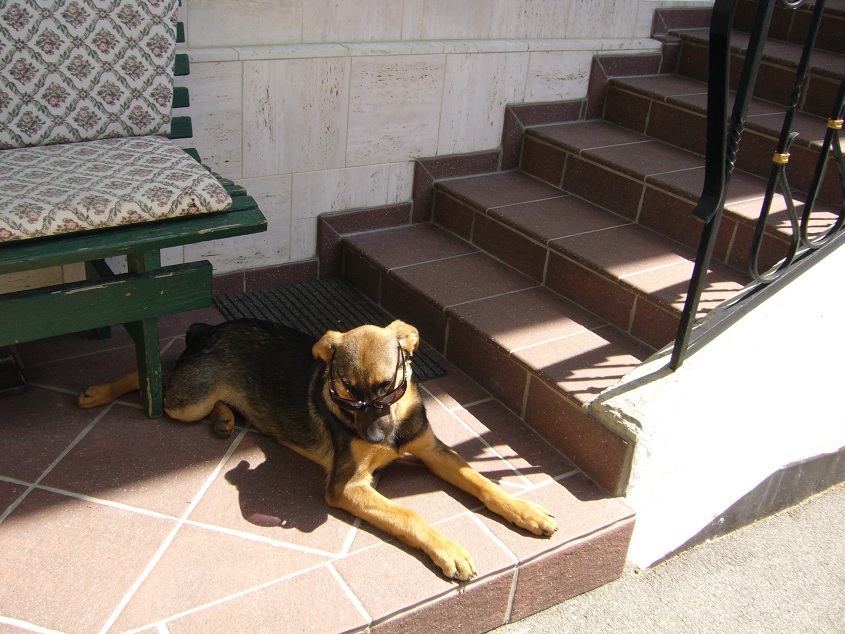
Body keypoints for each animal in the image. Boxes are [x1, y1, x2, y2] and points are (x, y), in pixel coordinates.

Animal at [77, 318, 552, 580]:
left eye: (390, 388)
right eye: (347, 394)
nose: (375, 440)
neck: (392, 426)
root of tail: (209, 328)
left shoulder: (433, 450)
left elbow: (479, 479)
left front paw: (525, 511)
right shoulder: (347, 485)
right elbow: (409, 515)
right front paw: (449, 550)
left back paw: (226, 418)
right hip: (186, 402)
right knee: (153, 379)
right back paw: (98, 392)